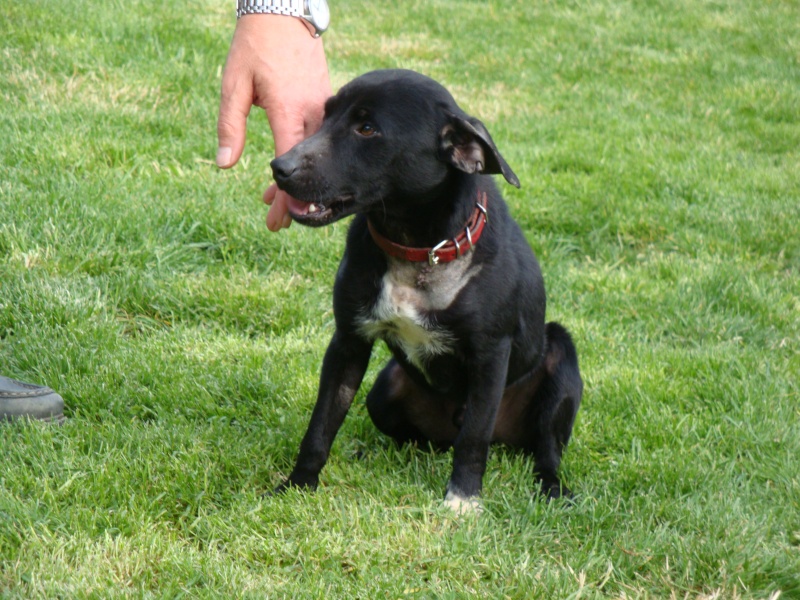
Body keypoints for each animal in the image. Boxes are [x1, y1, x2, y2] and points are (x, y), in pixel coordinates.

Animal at [268, 69, 580, 510]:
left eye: (367, 128)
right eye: (325, 115)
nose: (279, 166)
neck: (418, 249)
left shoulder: (491, 356)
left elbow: (475, 438)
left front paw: (463, 500)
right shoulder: (348, 342)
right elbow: (320, 426)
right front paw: (298, 484)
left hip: (561, 365)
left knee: (542, 450)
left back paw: (552, 488)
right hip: (385, 392)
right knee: (422, 442)